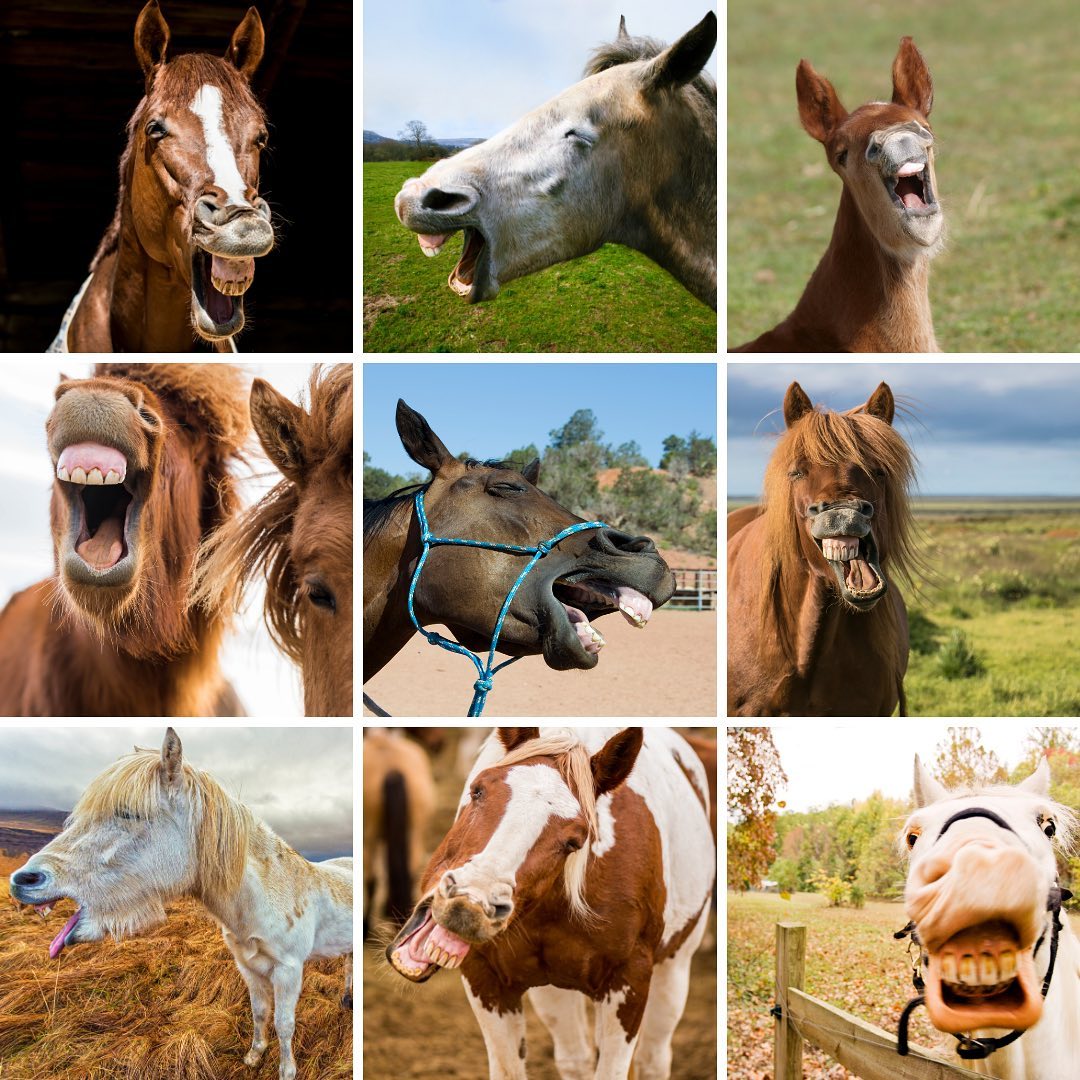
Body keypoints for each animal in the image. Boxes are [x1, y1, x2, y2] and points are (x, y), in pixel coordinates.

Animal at [7, 728, 352, 1080]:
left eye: (127, 813)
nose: (23, 880)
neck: (267, 894)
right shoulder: (249, 967)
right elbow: (259, 1012)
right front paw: (255, 1055)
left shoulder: (288, 971)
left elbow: (284, 1024)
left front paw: (286, 1070)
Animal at [385, 727, 715, 1079]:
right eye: (477, 790)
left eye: (574, 840)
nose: (470, 904)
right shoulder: (485, 979)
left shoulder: (629, 985)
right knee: (576, 1057)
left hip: (673, 971)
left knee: (653, 1059)